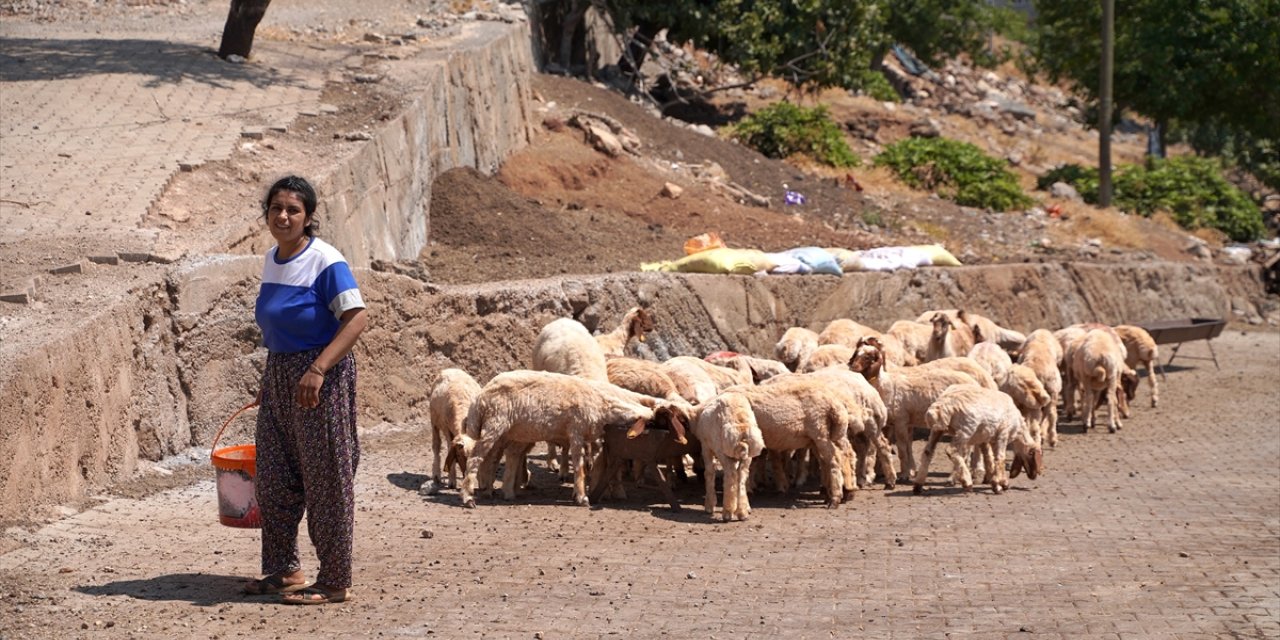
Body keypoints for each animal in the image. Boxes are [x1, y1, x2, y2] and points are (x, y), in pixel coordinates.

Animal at [455, 373, 686, 506]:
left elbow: (601, 464)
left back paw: (504, 493)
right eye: (664, 421)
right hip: (496, 425)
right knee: (477, 458)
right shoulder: (577, 431)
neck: (603, 404)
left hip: (514, 431)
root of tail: (479, 399)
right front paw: (582, 496)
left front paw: (601, 491)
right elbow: (580, 464)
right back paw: (469, 497)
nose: (682, 442)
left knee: (502, 457)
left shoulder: (594, 436)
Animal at [696, 389, 762, 519]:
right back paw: (742, 512)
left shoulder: (705, 447)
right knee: (742, 476)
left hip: (722, 449)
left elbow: (709, 473)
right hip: (748, 454)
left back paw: (727, 512)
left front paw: (709, 506)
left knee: (730, 474)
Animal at [911, 384, 1039, 494]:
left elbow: (989, 458)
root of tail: (941, 406)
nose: (1034, 476)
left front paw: (997, 482)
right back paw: (967, 481)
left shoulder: (985, 438)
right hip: (966, 428)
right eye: (1032, 454)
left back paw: (918, 485)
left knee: (928, 452)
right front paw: (999, 484)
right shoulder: (1003, 434)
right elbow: (1000, 458)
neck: (1019, 429)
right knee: (951, 450)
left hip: (937, 430)